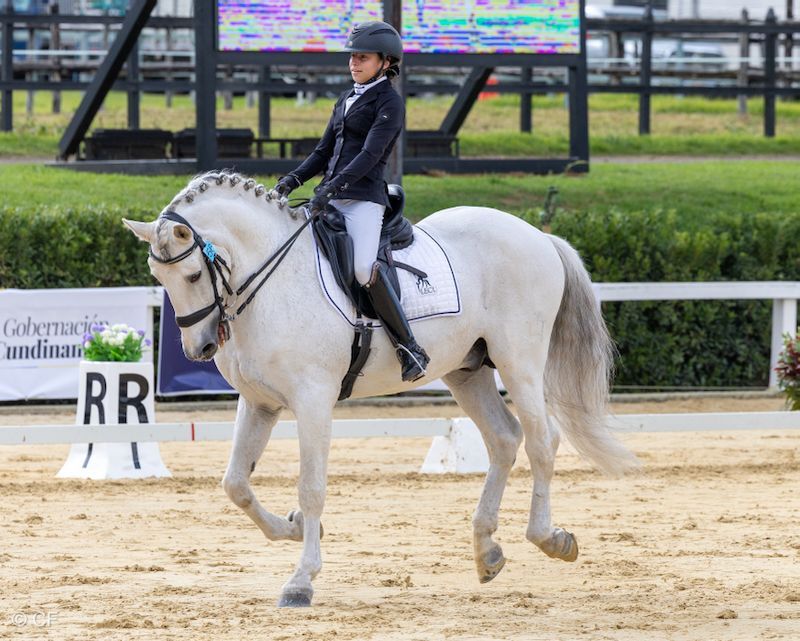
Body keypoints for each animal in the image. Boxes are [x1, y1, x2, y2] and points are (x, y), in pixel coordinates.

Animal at [123, 170, 637, 608]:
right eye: (157, 277)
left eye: (192, 275)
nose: (200, 348)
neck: (273, 283)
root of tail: (538, 236)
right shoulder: (260, 402)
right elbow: (235, 484)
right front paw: (293, 528)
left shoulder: (313, 401)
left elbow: (311, 487)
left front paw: (301, 580)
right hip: (467, 370)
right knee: (504, 439)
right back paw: (487, 551)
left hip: (520, 362)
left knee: (542, 441)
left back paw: (550, 538)